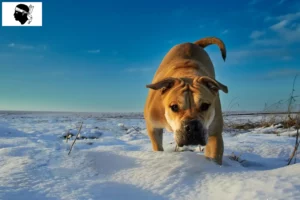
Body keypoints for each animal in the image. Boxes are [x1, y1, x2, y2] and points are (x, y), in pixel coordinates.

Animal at [144, 36, 229, 165]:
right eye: (174, 107)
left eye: (205, 105)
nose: (192, 126)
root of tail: (192, 43)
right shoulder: (153, 127)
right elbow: (157, 146)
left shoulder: (215, 134)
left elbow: (214, 155)